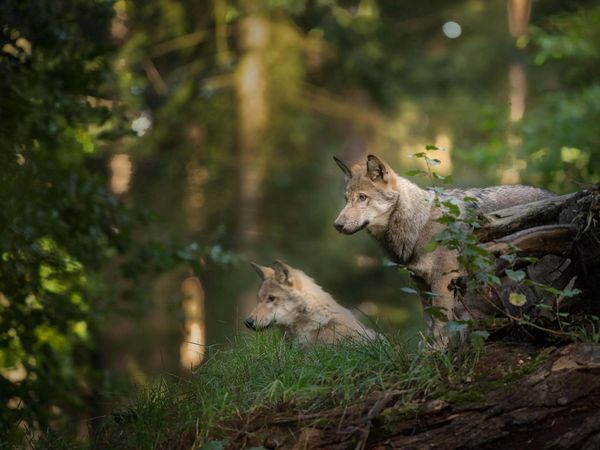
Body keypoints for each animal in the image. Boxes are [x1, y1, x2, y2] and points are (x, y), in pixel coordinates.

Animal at [332, 153, 552, 346]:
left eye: (362, 198)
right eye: (346, 199)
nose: (337, 225)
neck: (419, 225)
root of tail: (553, 195)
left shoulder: (443, 281)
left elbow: (441, 325)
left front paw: (440, 352)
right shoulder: (421, 284)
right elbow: (429, 324)